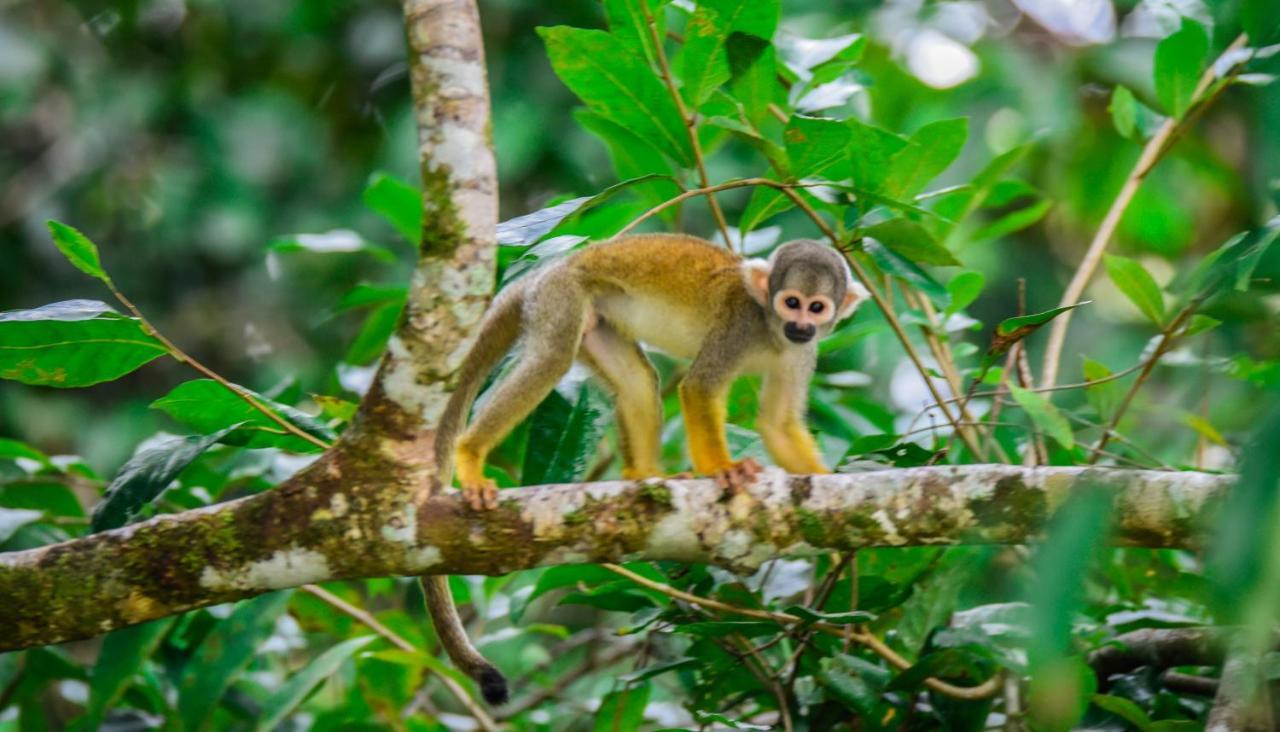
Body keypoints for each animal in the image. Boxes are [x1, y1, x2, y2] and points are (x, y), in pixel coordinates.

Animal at [424, 234, 865, 701]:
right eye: (791, 302)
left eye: (816, 307)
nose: (801, 325)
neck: (770, 327)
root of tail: (551, 268)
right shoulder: (738, 327)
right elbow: (699, 388)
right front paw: (722, 470)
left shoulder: (802, 354)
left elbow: (777, 425)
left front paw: (835, 503)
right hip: (561, 300)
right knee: (553, 360)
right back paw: (470, 453)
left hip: (595, 320)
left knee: (636, 380)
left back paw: (644, 478)